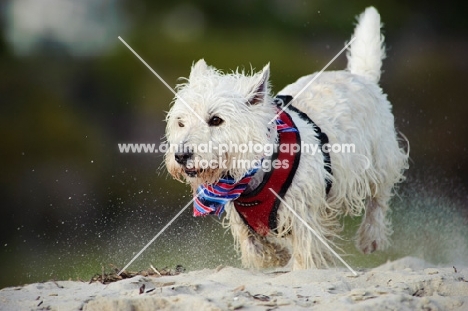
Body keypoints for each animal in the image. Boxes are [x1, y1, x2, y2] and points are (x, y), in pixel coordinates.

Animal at [166, 7, 408, 270]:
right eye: (180, 122)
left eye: (216, 120)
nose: (181, 156)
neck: (254, 172)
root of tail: (360, 77)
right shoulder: (245, 222)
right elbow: (258, 250)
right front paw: (278, 257)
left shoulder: (304, 216)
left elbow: (304, 256)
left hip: (379, 158)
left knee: (379, 197)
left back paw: (370, 238)